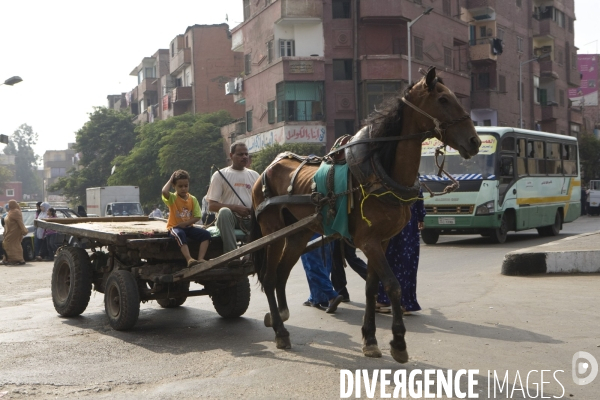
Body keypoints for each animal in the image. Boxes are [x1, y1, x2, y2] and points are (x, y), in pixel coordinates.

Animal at [251, 68, 480, 362]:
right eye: (442, 99)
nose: (474, 141)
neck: (379, 171)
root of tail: (266, 170)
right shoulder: (369, 242)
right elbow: (393, 285)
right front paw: (398, 342)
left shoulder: (381, 241)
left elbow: (372, 287)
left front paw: (370, 338)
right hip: (272, 233)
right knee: (269, 278)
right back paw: (280, 332)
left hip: (298, 235)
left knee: (280, 275)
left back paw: (280, 315)